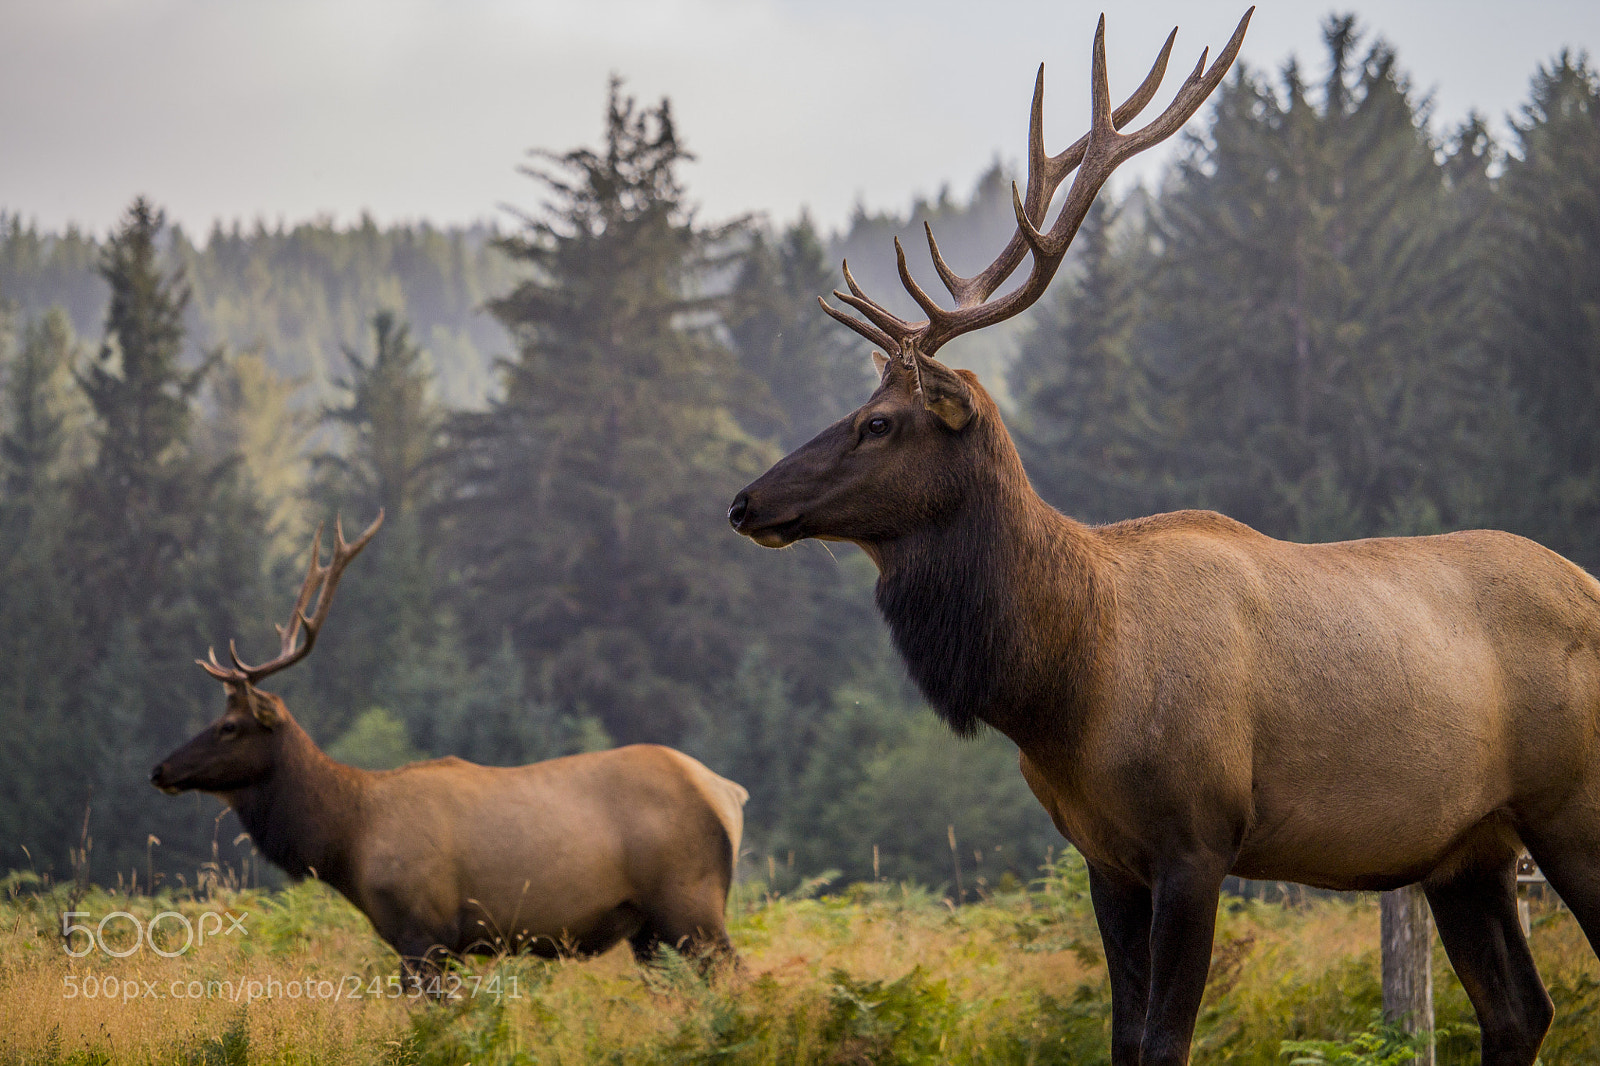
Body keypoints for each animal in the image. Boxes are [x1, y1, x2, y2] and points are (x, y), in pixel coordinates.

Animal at [152, 512, 748, 986]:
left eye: (230, 725)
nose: (160, 769)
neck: (349, 839)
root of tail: (728, 793)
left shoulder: (425, 930)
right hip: (647, 927)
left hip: (690, 902)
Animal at [728, 10, 1600, 1066]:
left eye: (880, 422)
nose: (744, 502)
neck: (1068, 684)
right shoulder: (1106, 856)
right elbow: (1121, 1035)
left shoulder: (1198, 837)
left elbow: (1163, 1040)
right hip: (1468, 846)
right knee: (1520, 1008)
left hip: (1575, 806)